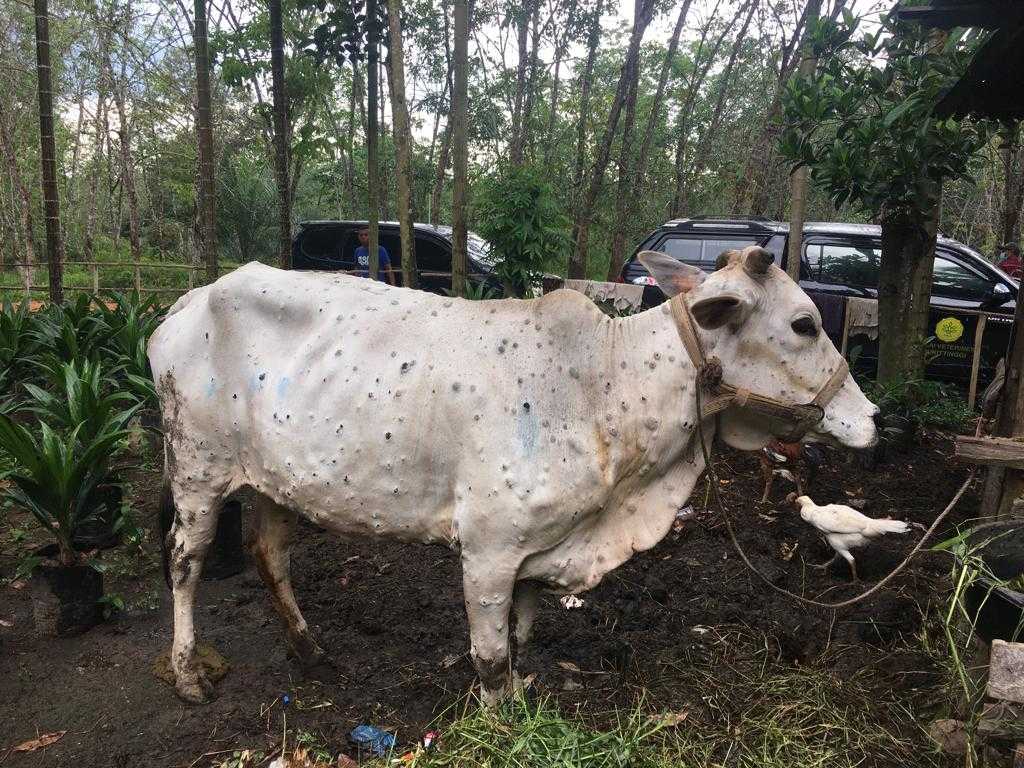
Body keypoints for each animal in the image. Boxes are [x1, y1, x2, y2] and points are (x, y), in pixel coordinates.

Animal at [151, 250, 880, 704]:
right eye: (804, 323)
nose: (873, 417)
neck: (605, 387)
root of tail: (191, 298)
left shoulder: (540, 547)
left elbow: (520, 635)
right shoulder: (489, 549)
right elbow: (491, 654)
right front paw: (499, 714)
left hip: (275, 481)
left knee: (269, 554)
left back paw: (309, 651)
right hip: (196, 470)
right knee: (185, 562)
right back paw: (187, 673)